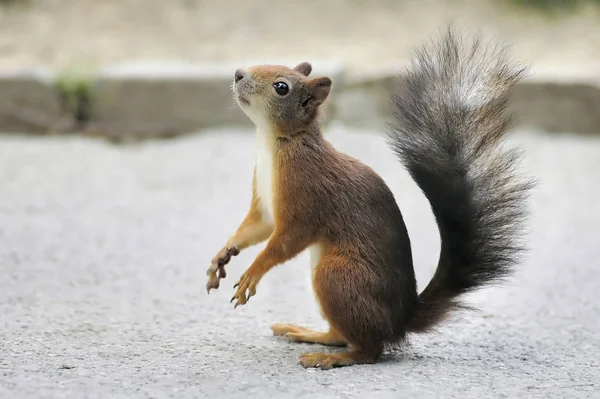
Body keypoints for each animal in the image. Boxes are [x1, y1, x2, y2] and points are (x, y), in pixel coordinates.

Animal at [207, 28, 536, 372]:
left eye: (281, 87)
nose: (238, 73)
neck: (276, 143)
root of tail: (401, 320)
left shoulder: (307, 197)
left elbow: (284, 242)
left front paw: (252, 274)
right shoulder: (264, 204)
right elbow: (254, 228)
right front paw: (222, 255)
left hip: (337, 275)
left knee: (370, 349)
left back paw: (331, 358)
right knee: (341, 334)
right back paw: (308, 334)